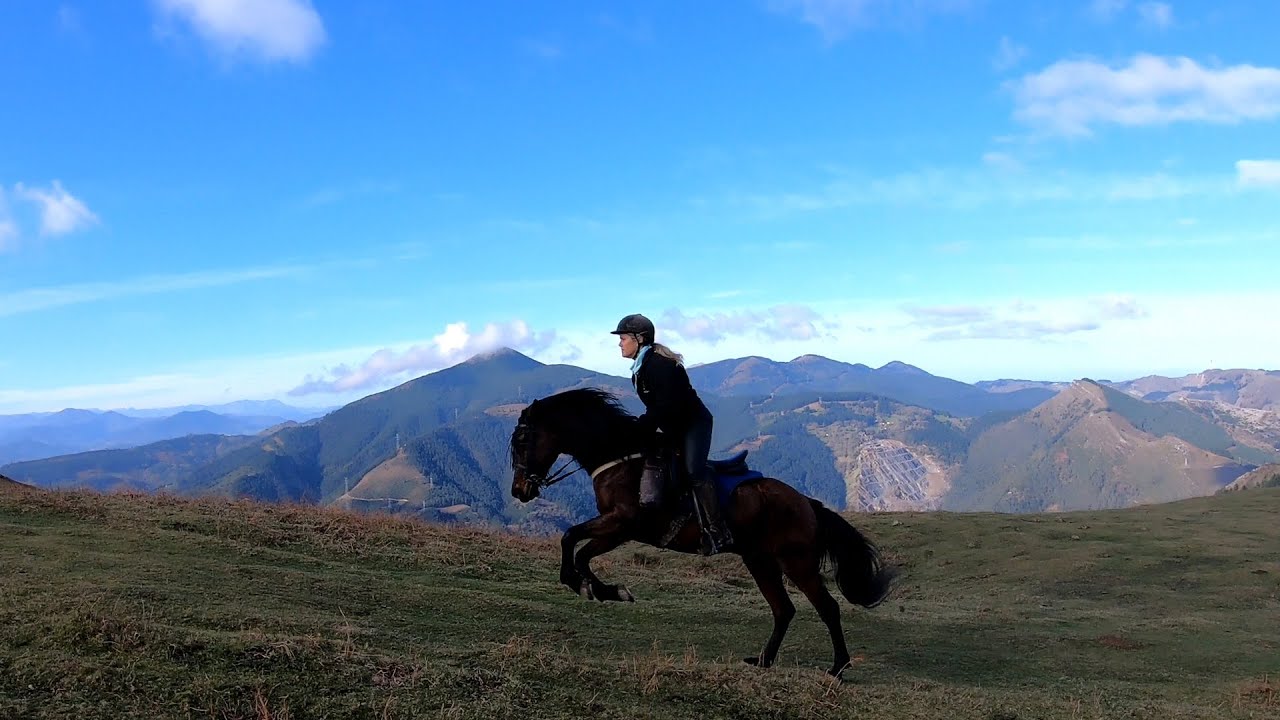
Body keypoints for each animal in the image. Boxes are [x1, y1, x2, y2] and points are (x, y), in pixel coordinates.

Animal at [508, 388, 895, 677]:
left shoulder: (623, 525)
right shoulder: (616, 527)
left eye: (523, 440)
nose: (519, 491)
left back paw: (838, 667)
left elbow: (574, 542)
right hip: (760, 561)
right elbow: (577, 547)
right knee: (783, 610)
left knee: (827, 607)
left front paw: (594, 587)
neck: (620, 458)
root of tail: (806, 503)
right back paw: (764, 660)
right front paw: (599, 588)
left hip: (796, 562)